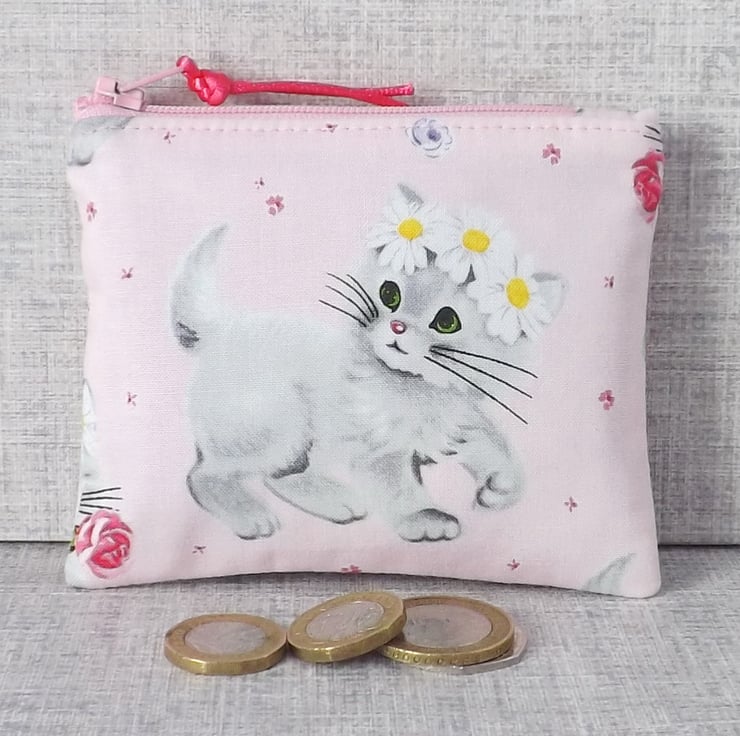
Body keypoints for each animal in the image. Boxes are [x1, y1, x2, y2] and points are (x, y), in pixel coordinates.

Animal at [170, 187, 565, 542]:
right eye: (390, 295)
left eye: (447, 321)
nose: (398, 326)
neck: (418, 387)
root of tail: (224, 328)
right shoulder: (380, 451)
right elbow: (398, 485)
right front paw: (425, 517)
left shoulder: (460, 421)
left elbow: (495, 445)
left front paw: (502, 486)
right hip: (278, 424)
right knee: (207, 476)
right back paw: (253, 515)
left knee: (278, 477)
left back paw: (336, 502)